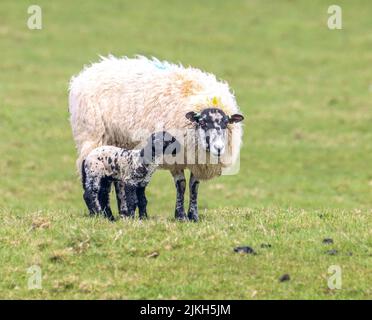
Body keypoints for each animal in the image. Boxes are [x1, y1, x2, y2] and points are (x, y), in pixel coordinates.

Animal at [69, 55, 244, 221]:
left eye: (226, 123)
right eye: (202, 123)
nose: (218, 148)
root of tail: (87, 71)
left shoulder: (197, 160)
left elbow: (194, 186)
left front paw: (193, 216)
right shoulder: (176, 159)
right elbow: (181, 185)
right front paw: (180, 216)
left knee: (117, 181)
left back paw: (120, 213)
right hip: (93, 137)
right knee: (94, 185)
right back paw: (100, 214)